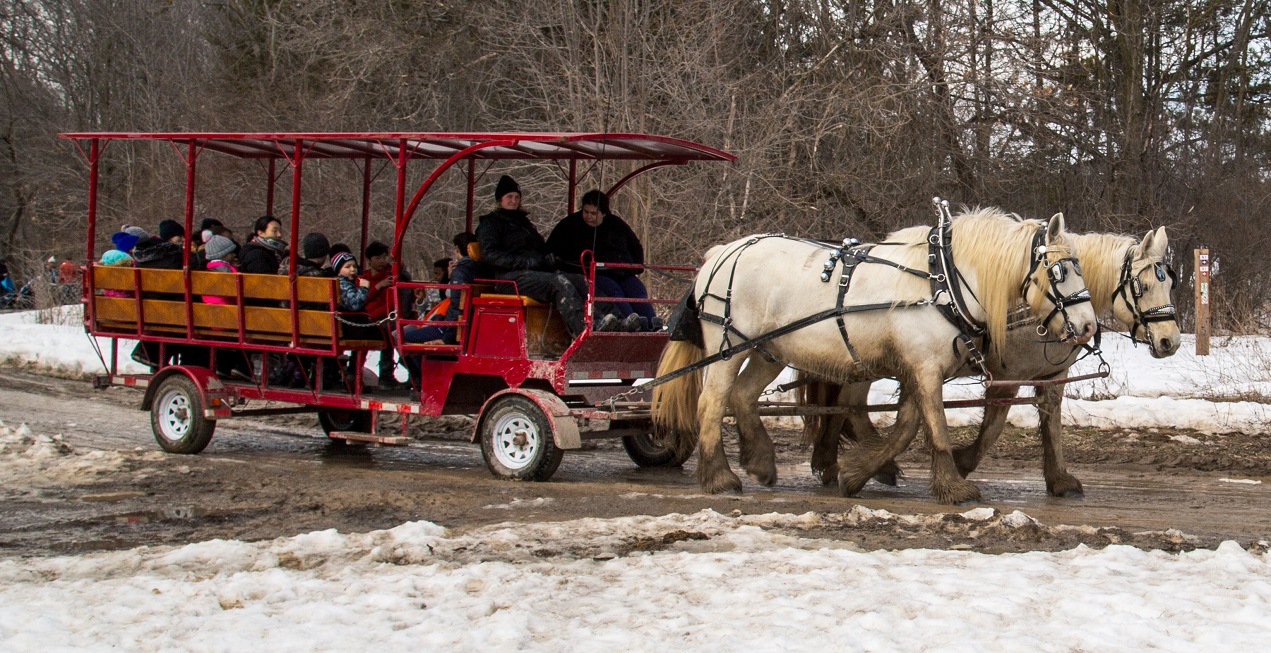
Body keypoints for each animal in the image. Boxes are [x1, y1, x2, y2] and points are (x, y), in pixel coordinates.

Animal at [651, 207, 1100, 504]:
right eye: (1061, 271)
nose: (1089, 326)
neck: (943, 280)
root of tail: (722, 251)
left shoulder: (920, 368)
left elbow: (908, 426)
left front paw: (857, 473)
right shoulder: (924, 367)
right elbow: (934, 427)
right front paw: (954, 487)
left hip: (769, 350)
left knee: (743, 397)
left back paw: (761, 461)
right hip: (726, 347)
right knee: (712, 402)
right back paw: (719, 476)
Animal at [801, 226, 1181, 497]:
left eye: (1170, 285)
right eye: (1142, 286)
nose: (1171, 342)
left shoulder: (1052, 376)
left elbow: (1053, 427)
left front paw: (1058, 479)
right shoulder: (1005, 374)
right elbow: (994, 427)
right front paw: (962, 462)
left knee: (843, 405)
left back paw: (836, 462)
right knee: (849, 406)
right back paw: (868, 465)